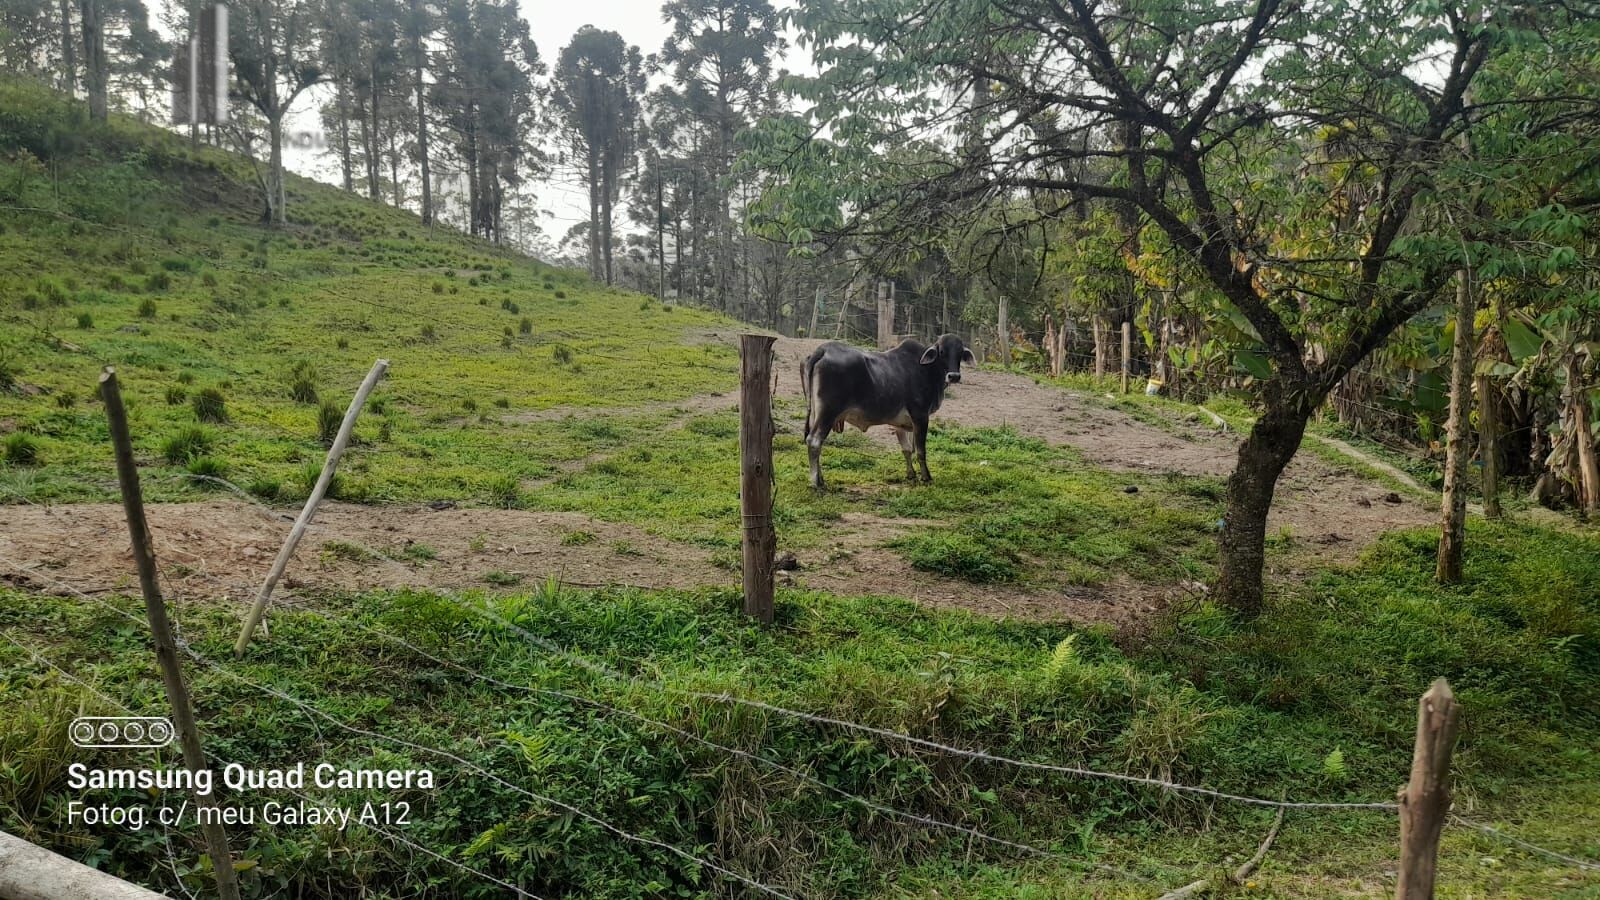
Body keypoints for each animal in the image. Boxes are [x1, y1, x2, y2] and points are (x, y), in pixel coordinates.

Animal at [800, 331, 972, 486]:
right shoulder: (921, 415)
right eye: (942, 352)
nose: (954, 376)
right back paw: (816, 483)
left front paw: (911, 475)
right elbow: (920, 451)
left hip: (815, 412)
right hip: (828, 412)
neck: (927, 369)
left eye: (960, 353)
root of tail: (822, 350)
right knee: (814, 441)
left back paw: (820, 478)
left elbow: (907, 449)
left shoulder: (902, 422)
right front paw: (926, 477)